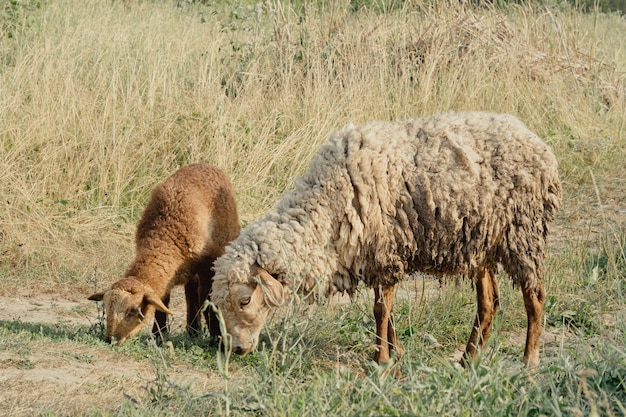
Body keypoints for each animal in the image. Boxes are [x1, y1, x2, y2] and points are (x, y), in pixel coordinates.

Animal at [89, 162, 240, 342]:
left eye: (132, 311)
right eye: (106, 309)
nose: (110, 339)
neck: (163, 237)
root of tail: (203, 164)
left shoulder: (208, 266)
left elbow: (209, 302)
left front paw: (216, 337)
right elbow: (162, 303)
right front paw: (158, 336)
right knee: (190, 293)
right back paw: (193, 331)